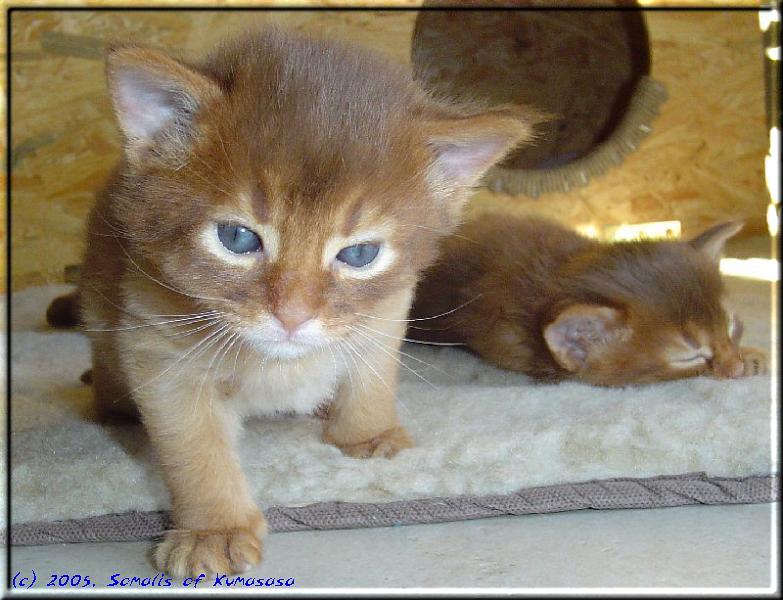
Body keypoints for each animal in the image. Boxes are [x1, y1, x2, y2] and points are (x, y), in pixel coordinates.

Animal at [55, 28, 544, 576]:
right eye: (237, 238)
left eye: (359, 254)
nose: (292, 315)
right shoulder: (158, 350)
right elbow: (195, 451)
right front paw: (213, 530)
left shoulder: (385, 311)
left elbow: (372, 377)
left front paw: (367, 433)